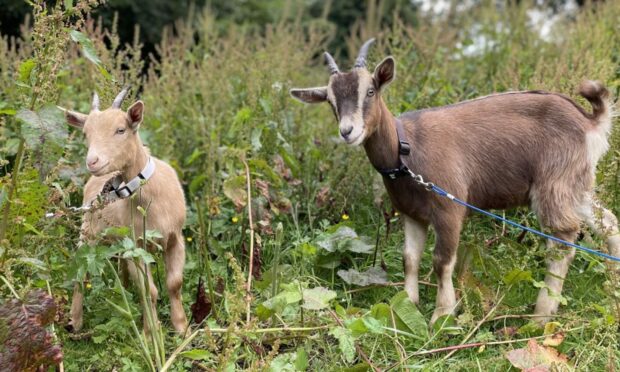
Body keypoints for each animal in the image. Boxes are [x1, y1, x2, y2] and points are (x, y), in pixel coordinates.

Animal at [63, 91, 190, 334]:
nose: (93, 161)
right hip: (88, 231)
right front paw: (151, 331)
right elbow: (149, 291)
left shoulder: (175, 238)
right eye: (85, 133)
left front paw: (182, 328)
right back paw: (75, 321)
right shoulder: (137, 248)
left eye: (120, 130)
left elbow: (174, 284)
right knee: (81, 272)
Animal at [292, 40, 620, 324]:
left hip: (554, 181)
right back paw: (613, 284)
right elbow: (409, 258)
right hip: (577, 183)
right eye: (330, 100)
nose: (348, 131)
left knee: (562, 241)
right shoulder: (411, 213)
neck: (405, 150)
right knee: (608, 221)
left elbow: (441, 261)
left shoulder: (448, 207)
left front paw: (442, 314)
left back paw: (540, 316)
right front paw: (407, 304)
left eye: (371, 91)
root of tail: (590, 122)